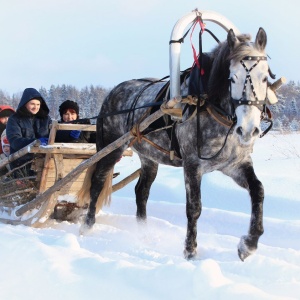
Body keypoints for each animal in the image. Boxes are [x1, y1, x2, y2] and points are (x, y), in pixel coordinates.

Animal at [78, 28, 270, 262]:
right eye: (231, 78)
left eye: (265, 77)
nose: (248, 129)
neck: (208, 106)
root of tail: (113, 92)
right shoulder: (192, 165)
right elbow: (194, 207)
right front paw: (190, 250)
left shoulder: (235, 164)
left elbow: (258, 190)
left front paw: (248, 244)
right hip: (111, 149)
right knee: (97, 182)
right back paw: (87, 225)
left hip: (149, 157)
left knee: (141, 192)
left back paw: (143, 233)